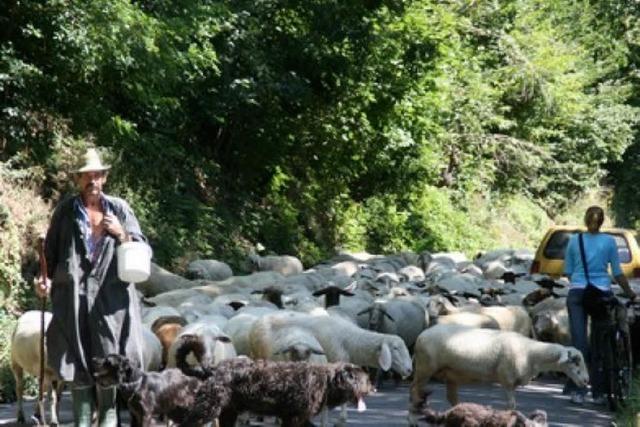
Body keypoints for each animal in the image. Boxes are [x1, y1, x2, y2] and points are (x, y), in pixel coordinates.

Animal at [410, 326, 592, 422]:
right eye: (576, 361)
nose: (586, 381)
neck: (530, 352)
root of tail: (421, 335)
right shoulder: (508, 380)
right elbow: (511, 406)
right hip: (425, 368)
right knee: (415, 392)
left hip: (451, 374)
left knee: (452, 398)